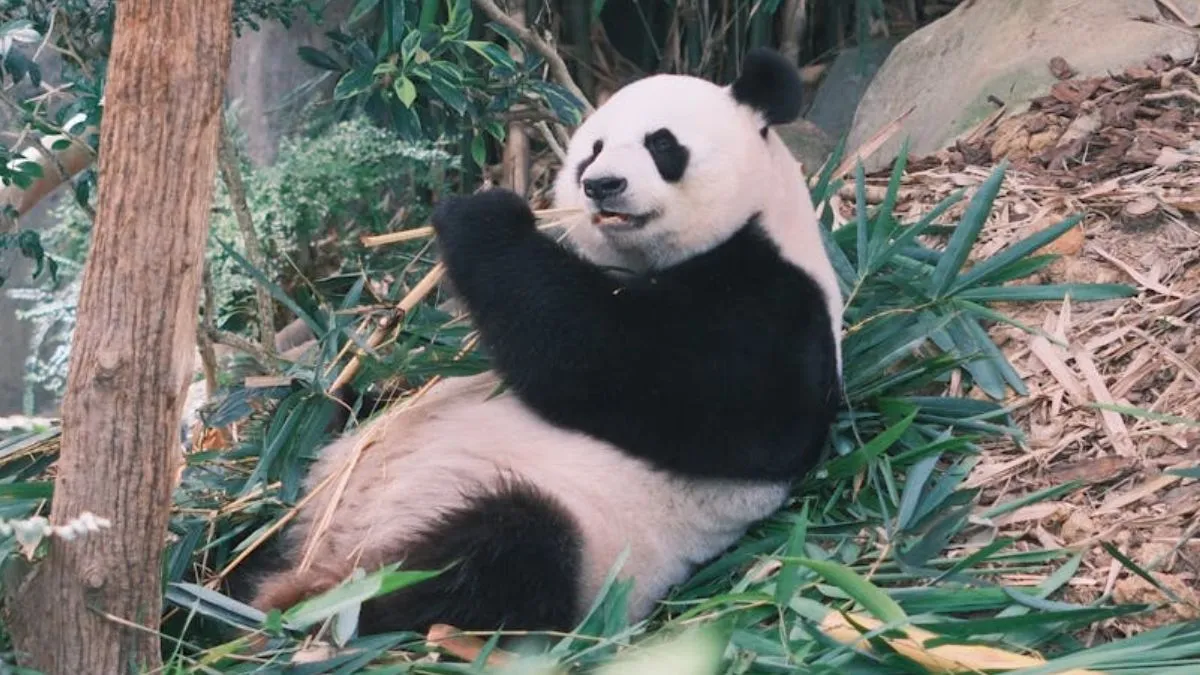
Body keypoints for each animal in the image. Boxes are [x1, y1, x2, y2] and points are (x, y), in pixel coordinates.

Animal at [244, 47, 844, 638]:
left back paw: (310, 606)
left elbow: (612, 361)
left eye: (662, 144)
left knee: (495, 555)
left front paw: (481, 214)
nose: (602, 184)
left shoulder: (774, 310)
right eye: (592, 150)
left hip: (577, 535)